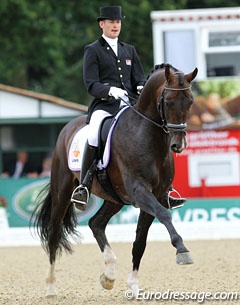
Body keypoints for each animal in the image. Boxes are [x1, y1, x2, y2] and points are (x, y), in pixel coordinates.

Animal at [33, 63, 199, 296]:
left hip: (115, 198)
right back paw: (50, 286)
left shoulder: (155, 194)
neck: (146, 134)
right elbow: (165, 215)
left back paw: (109, 276)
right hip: (62, 191)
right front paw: (182, 251)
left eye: (190, 101)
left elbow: (140, 241)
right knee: (54, 232)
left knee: (96, 223)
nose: (178, 145)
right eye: (168, 101)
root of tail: (68, 127)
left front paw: (134, 286)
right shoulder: (140, 191)